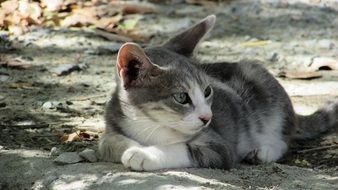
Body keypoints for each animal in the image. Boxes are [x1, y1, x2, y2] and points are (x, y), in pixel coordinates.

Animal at [98, 14, 338, 171]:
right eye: (181, 97)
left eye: (207, 91)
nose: (207, 117)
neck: (149, 124)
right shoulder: (113, 122)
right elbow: (108, 142)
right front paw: (131, 146)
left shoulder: (220, 146)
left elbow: (183, 148)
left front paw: (144, 153)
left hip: (263, 87)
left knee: (283, 138)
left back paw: (263, 151)